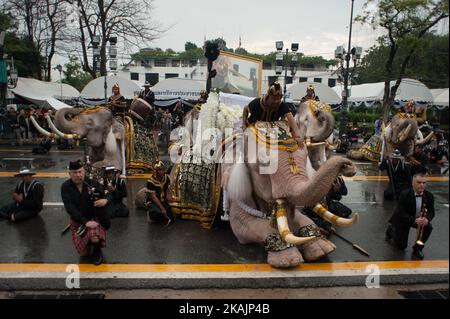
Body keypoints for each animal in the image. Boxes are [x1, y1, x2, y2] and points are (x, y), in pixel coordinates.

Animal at [221, 121, 358, 268]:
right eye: (263, 163)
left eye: (305, 157)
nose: (348, 165)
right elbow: (244, 224)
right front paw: (288, 260)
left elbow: (299, 217)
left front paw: (322, 250)